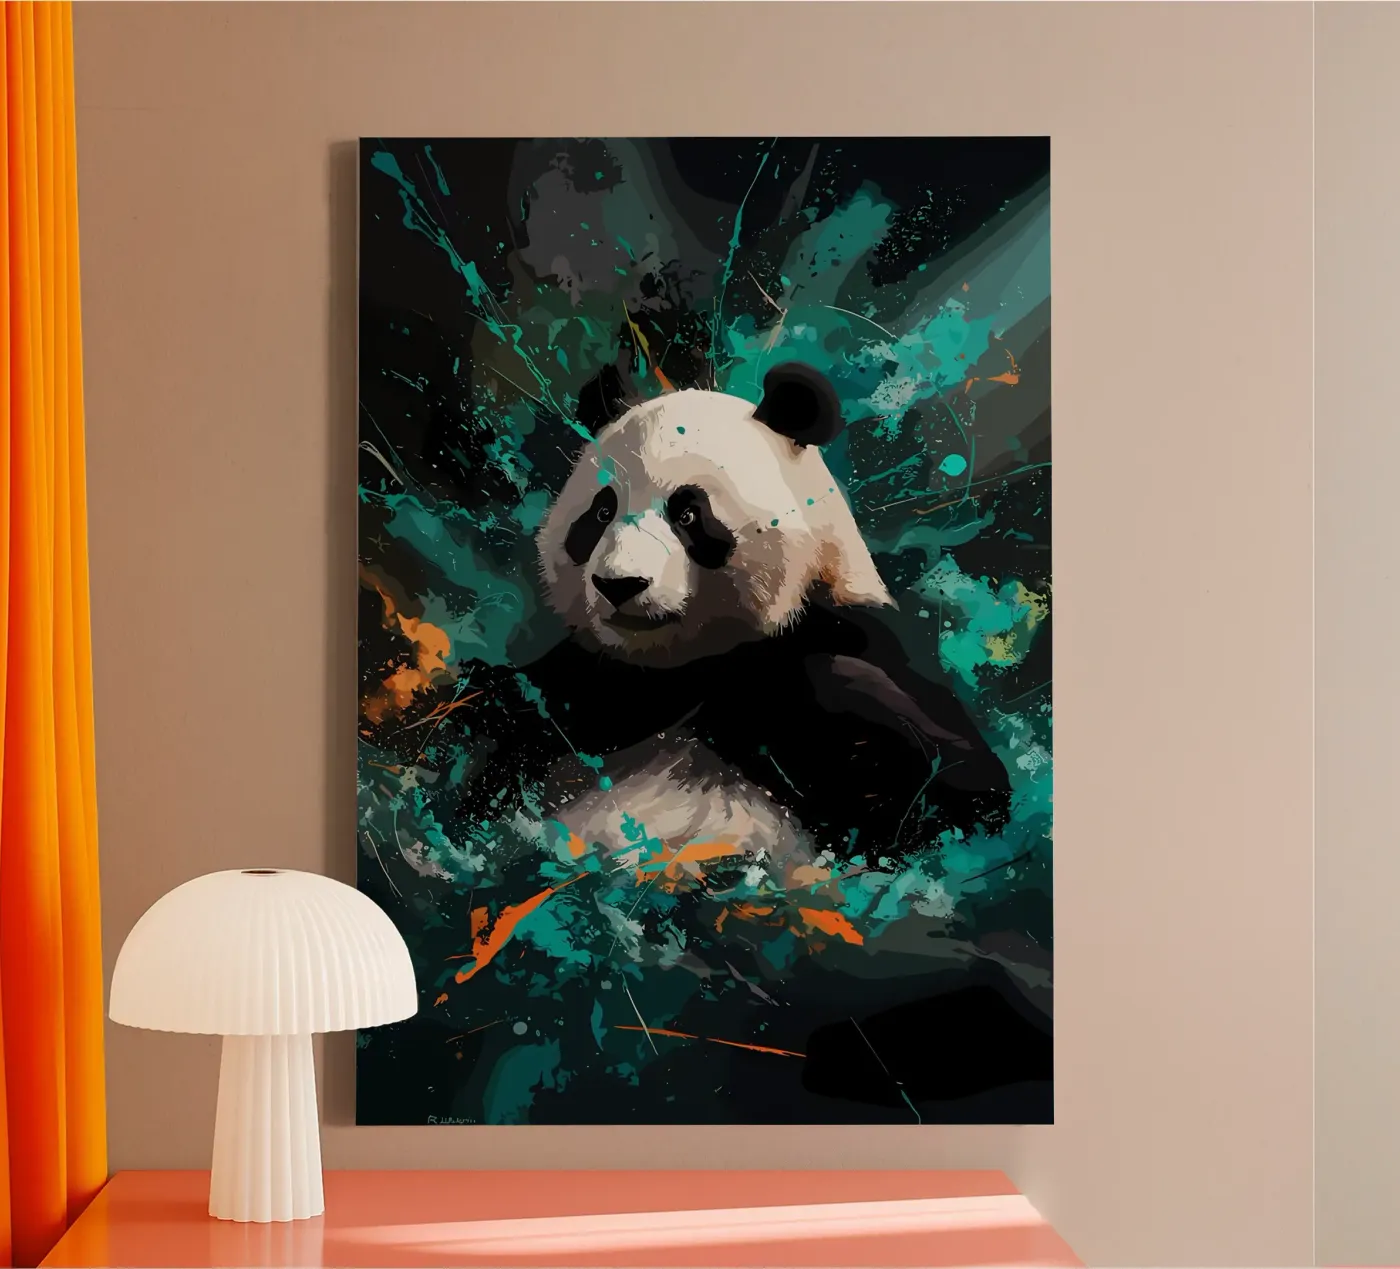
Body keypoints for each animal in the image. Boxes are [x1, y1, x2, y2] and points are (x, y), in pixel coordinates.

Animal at [492, 362, 1011, 878]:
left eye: (687, 514)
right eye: (601, 511)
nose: (618, 583)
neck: (690, 667)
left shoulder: (850, 638)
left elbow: (956, 789)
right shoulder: (582, 686)